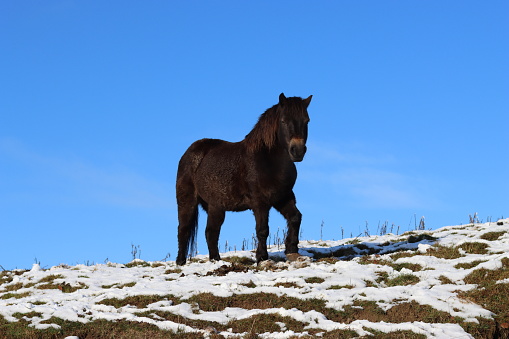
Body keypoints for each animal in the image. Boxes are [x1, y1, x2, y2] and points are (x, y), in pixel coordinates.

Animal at [176, 93, 310, 266]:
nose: (297, 151)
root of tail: (189, 153)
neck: (267, 159)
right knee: (184, 230)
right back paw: (180, 262)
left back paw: (216, 261)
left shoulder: (283, 197)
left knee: (211, 232)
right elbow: (262, 230)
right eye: (283, 121)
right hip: (187, 202)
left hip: (215, 207)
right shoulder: (260, 203)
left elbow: (295, 218)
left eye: (306, 120)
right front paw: (262, 258)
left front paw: (293, 252)